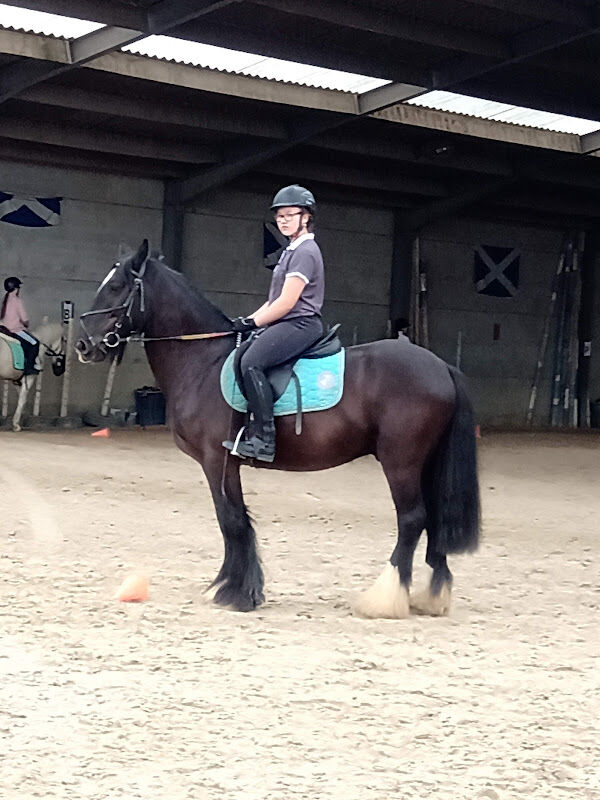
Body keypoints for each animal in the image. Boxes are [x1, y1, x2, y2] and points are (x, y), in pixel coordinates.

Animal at [77, 241, 478, 616]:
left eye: (117, 286)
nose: (84, 345)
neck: (204, 363)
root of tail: (440, 366)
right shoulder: (224, 464)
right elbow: (234, 521)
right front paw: (232, 587)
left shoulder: (216, 460)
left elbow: (232, 521)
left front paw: (236, 593)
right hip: (425, 462)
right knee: (435, 519)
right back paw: (432, 596)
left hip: (401, 461)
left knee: (412, 520)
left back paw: (384, 599)